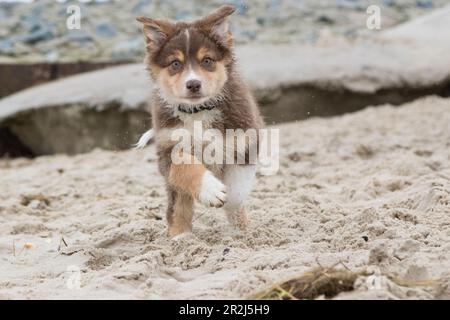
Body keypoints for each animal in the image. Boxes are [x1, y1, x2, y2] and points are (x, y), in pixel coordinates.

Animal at [136, 4, 264, 240]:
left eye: (207, 61)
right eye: (175, 64)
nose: (193, 84)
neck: (198, 111)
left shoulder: (246, 139)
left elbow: (237, 189)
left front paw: (230, 199)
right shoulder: (167, 150)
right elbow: (184, 166)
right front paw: (211, 191)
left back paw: (243, 232)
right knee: (178, 207)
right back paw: (181, 239)